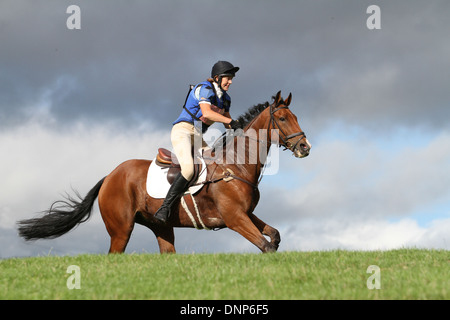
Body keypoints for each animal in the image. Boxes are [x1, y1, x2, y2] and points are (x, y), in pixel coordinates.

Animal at [18, 91, 312, 254]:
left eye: (296, 116)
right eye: (283, 119)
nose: (305, 147)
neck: (236, 165)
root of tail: (109, 176)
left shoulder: (246, 213)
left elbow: (274, 236)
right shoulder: (234, 218)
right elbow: (267, 246)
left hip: (160, 226)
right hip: (121, 229)